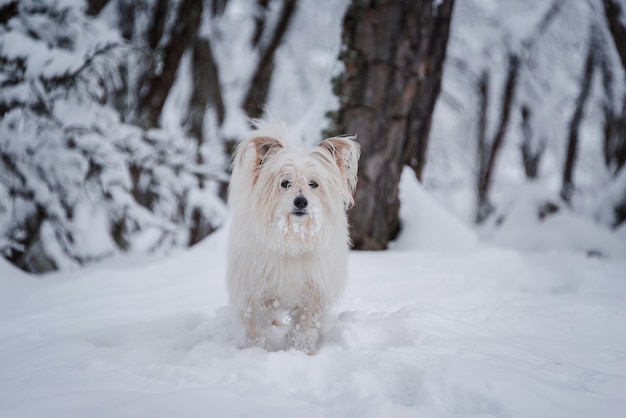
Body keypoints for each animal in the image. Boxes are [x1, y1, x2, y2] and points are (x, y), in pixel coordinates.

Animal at [227, 121, 358, 352]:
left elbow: (303, 328)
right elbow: (254, 326)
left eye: (313, 184)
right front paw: (255, 351)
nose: (301, 201)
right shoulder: (252, 292)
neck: (292, 239)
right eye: (285, 183)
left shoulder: (312, 296)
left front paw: (300, 351)